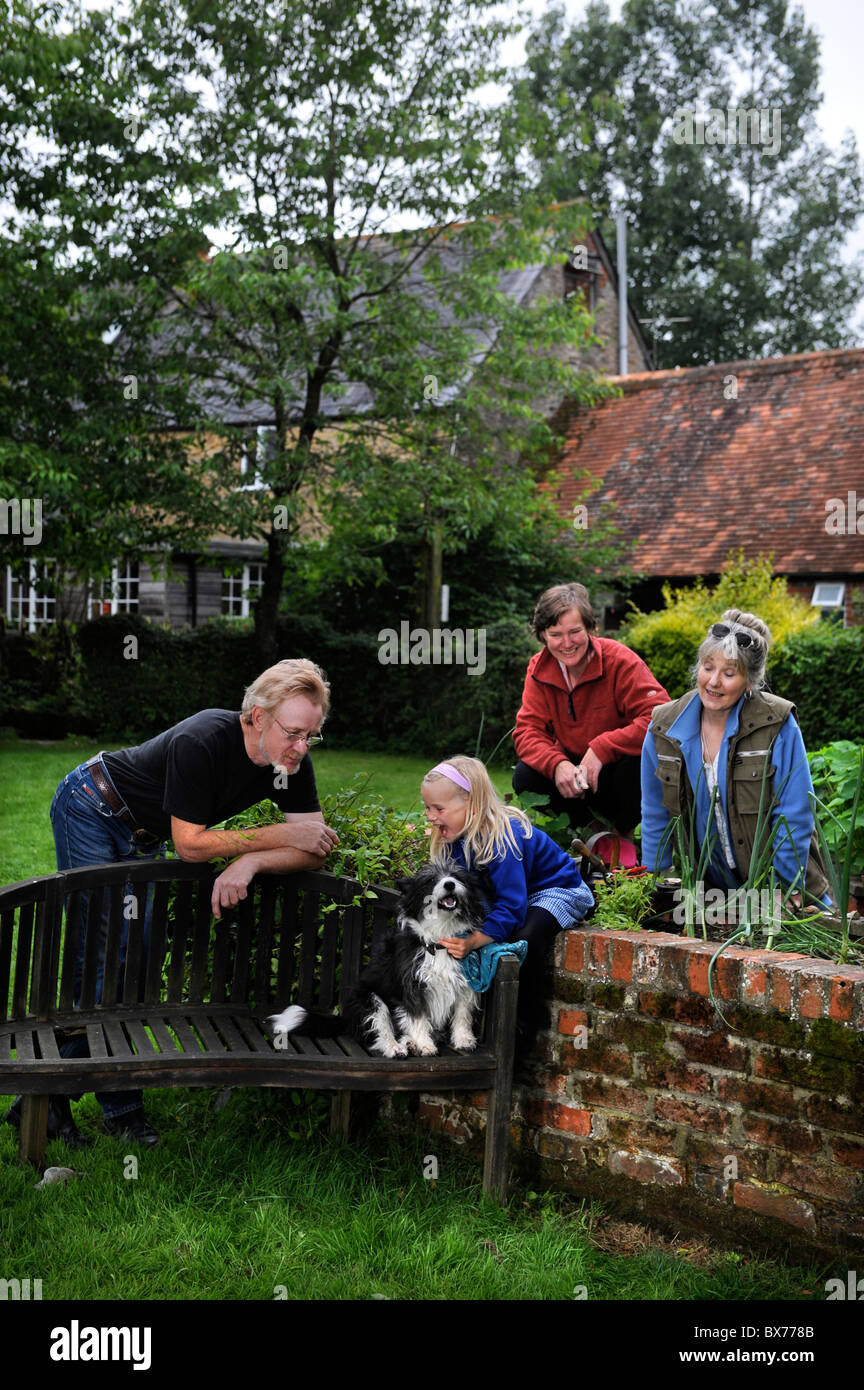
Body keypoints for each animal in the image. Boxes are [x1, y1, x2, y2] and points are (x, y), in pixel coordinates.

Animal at [268, 861, 491, 1056]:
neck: (440, 939)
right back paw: (397, 1047)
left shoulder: (465, 984)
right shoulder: (412, 987)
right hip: (370, 999)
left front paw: (463, 1039)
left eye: (457, 876)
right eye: (430, 880)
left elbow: (462, 1014)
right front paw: (424, 1044)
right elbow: (418, 1017)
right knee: (380, 1030)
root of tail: (346, 1018)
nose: (449, 884)